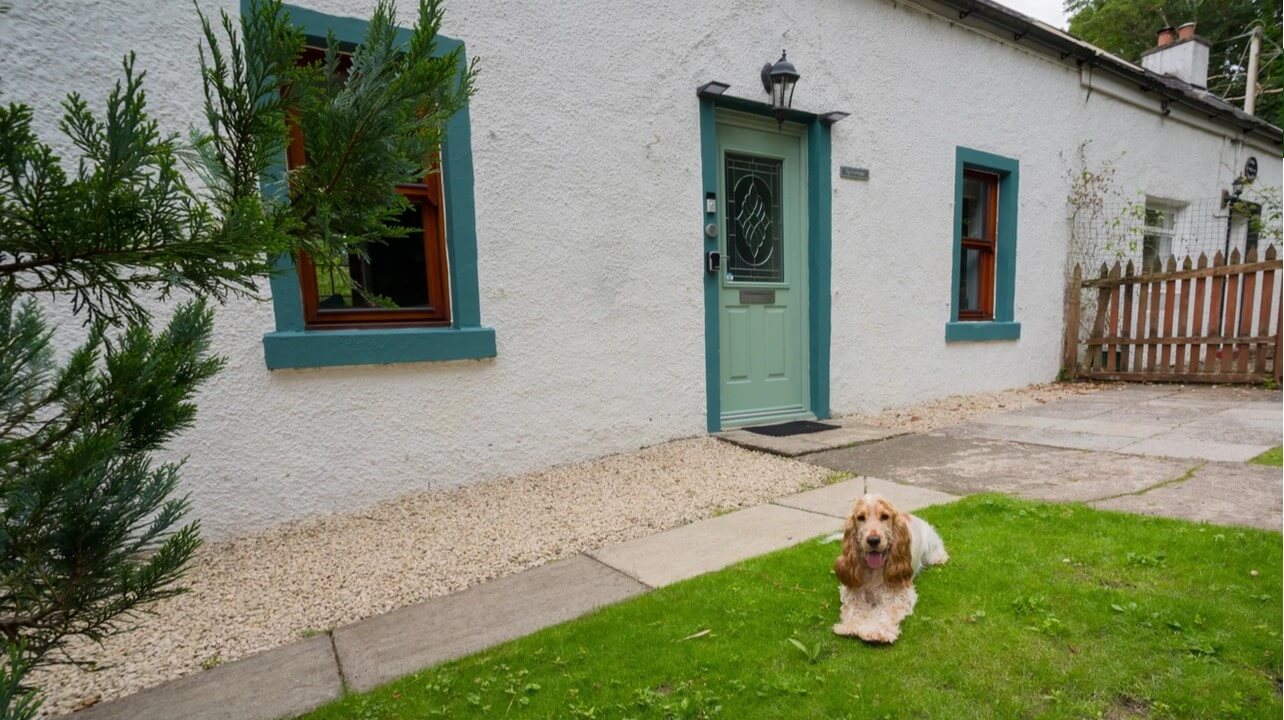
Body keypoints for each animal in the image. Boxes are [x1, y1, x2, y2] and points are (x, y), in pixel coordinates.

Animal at [826, 492, 950, 639]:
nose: (873, 540)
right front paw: (851, 626)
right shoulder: (853, 589)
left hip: (931, 543)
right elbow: (855, 608)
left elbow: (886, 612)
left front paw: (876, 631)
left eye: (885, 516)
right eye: (861, 517)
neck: (873, 570)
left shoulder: (897, 593)